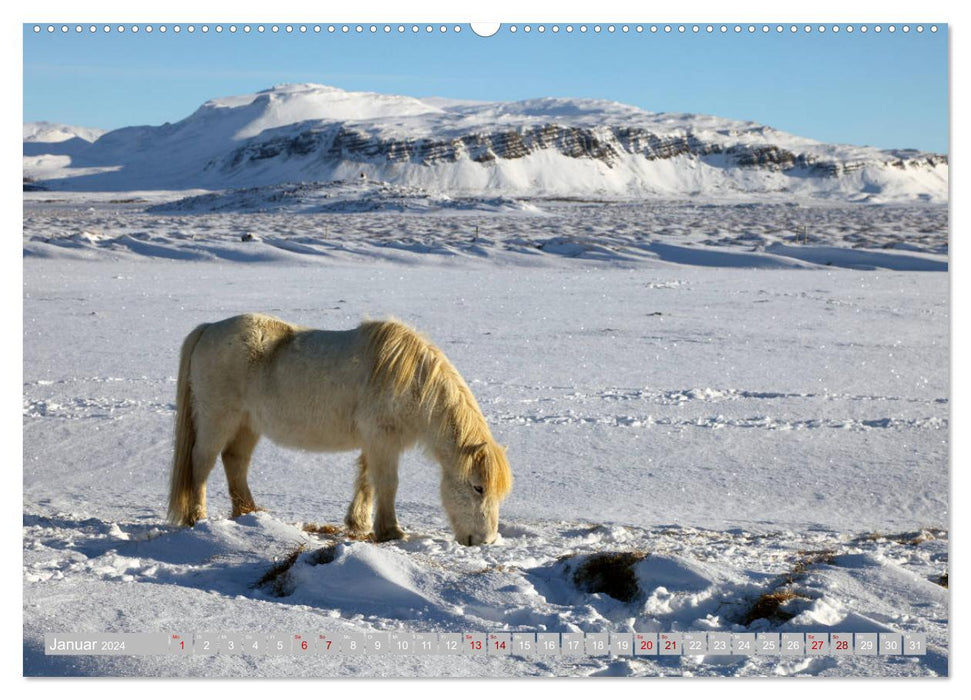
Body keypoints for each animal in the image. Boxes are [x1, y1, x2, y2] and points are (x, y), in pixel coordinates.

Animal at [167, 314, 516, 548]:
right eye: (478, 488)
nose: (485, 540)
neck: (412, 383)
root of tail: (209, 328)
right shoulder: (382, 440)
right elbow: (387, 484)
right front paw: (391, 531)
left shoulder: (374, 443)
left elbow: (367, 481)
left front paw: (358, 522)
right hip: (218, 419)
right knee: (202, 463)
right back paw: (197, 517)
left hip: (247, 425)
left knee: (235, 461)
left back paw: (249, 513)